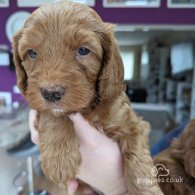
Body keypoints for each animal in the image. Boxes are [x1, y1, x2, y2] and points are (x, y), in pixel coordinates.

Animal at [12, 1, 163, 193]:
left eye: (83, 50)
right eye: (31, 53)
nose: (51, 93)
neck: (88, 109)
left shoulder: (134, 125)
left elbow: (139, 163)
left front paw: (147, 190)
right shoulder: (40, 107)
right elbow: (53, 114)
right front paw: (59, 160)